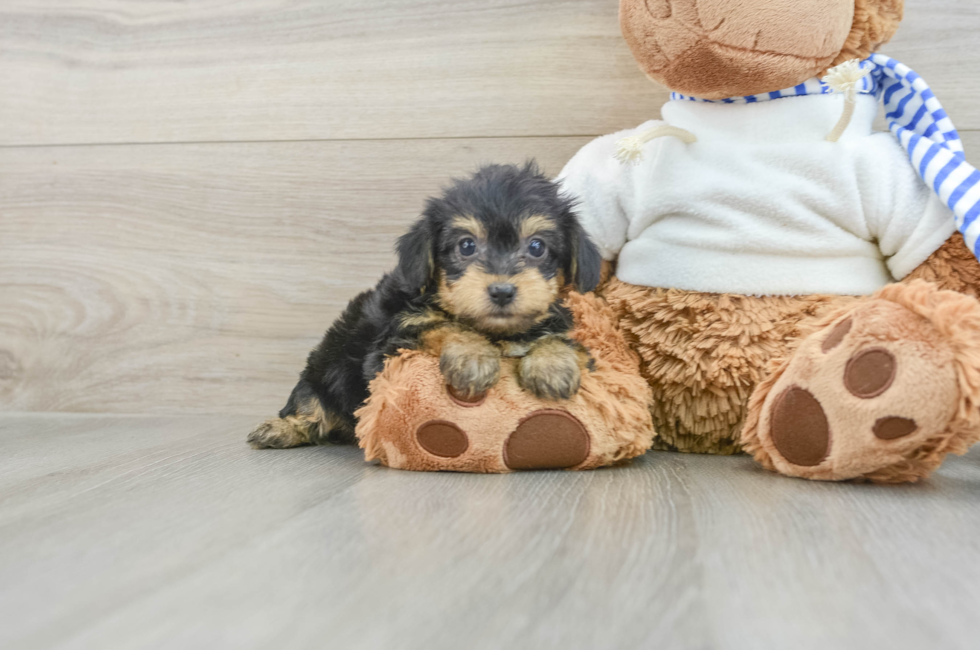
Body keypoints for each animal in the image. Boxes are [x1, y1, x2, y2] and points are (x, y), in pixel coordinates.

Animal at [245, 161, 600, 450]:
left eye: (537, 247)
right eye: (466, 246)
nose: (501, 291)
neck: (496, 332)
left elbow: (561, 340)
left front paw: (552, 366)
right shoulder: (390, 345)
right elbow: (442, 324)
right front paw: (474, 357)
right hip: (322, 371)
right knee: (310, 407)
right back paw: (279, 429)